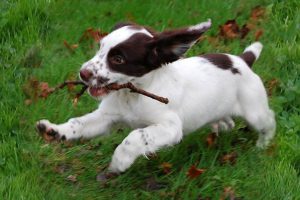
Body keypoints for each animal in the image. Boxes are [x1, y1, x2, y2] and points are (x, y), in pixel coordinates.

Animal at [36, 19, 276, 174]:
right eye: (100, 48)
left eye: (118, 59)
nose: (83, 73)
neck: (131, 94)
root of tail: (243, 60)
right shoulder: (107, 117)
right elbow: (78, 123)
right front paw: (54, 130)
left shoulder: (171, 127)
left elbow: (136, 135)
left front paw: (119, 161)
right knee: (227, 122)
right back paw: (219, 130)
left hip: (254, 110)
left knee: (269, 121)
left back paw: (262, 146)